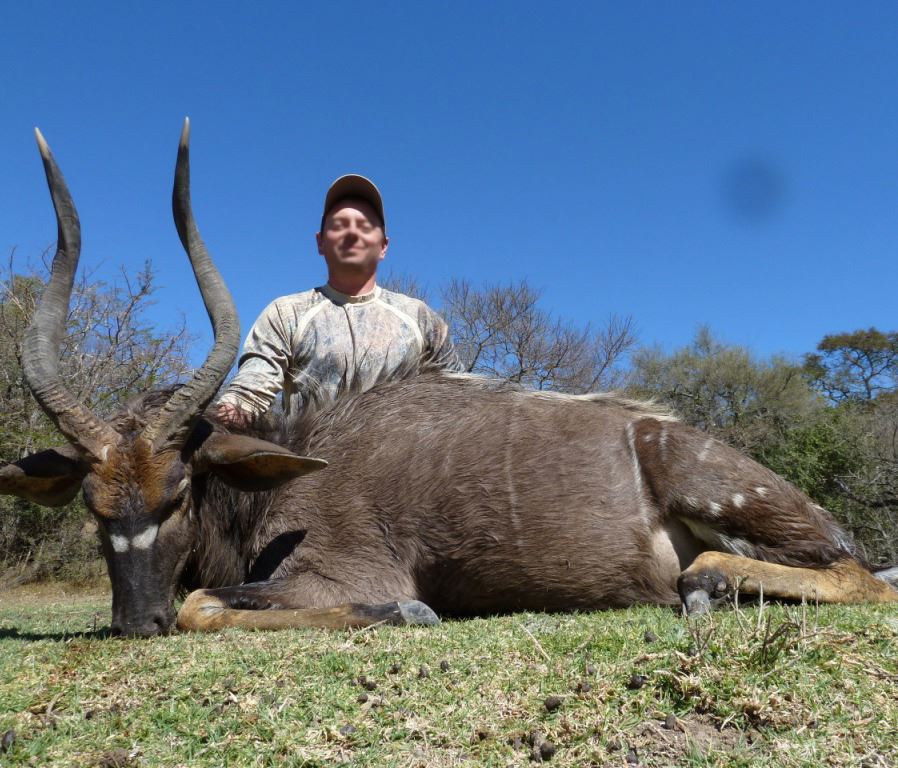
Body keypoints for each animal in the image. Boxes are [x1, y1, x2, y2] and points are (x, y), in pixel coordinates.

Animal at [2, 122, 895, 637]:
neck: (278, 479)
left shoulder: (340, 573)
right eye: (92, 505)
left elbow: (205, 605)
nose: (134, 622)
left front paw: (410, 610)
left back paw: (707, 583)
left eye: (181, 490)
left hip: (733, 501)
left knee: (857, 573)